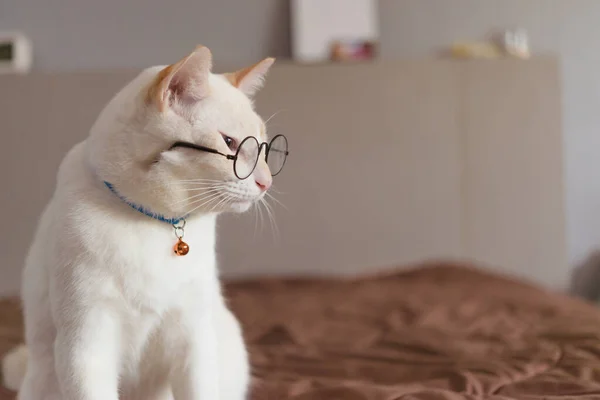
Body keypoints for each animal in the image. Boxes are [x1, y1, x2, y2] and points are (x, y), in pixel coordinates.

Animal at [1, 45, 284, 398]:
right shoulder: (87, 341)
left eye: (263, 147)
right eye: (230, 144)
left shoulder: (193, 340)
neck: (153, 223)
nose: (266, 183)